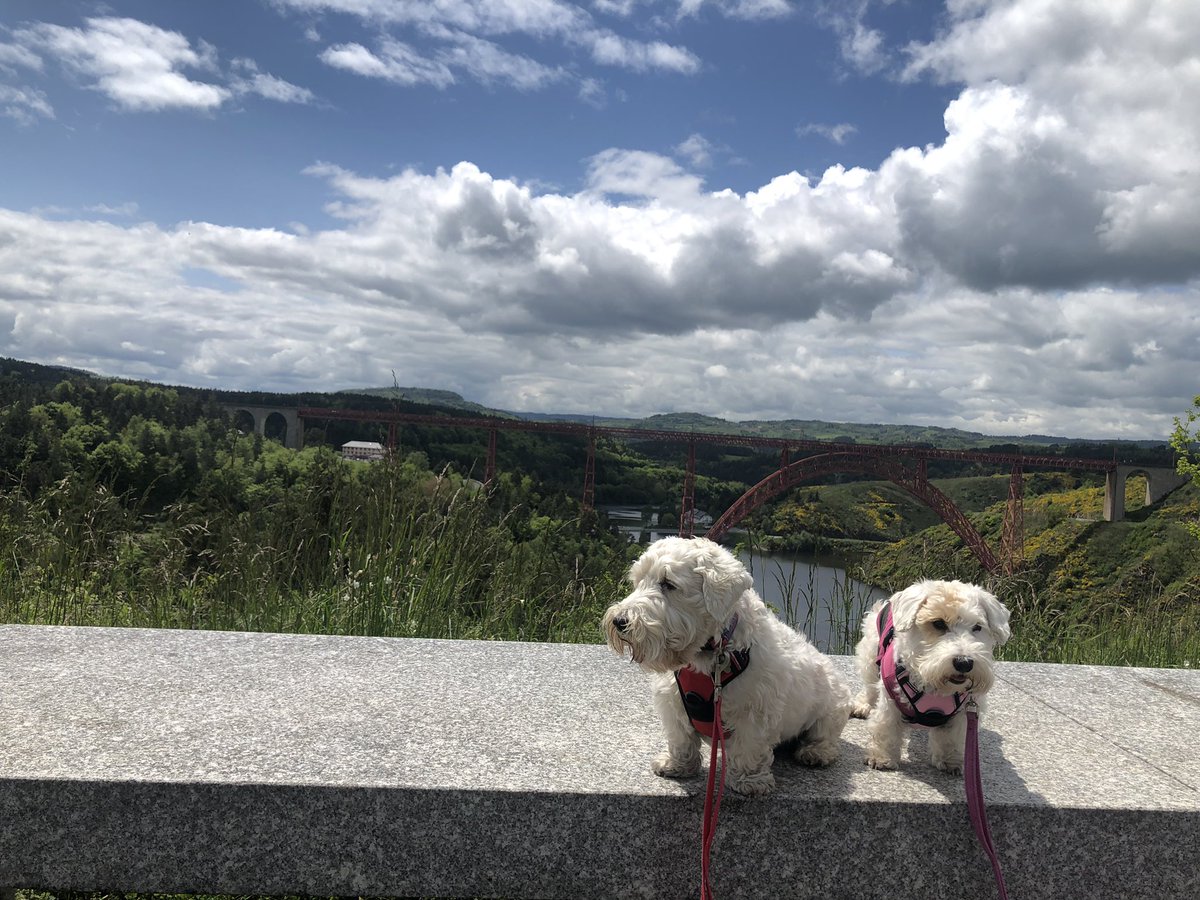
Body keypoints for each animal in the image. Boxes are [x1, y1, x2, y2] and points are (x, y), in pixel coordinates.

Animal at [600, 535, 854, 796]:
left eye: (668, 584)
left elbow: (749, 747)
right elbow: (681, 737)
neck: (710, 653)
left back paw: (816, 752)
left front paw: (749, 780)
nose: (619, 621)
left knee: (825, 736)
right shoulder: (672, 700)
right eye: (637, 581)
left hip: (831, 708)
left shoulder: (754, 709)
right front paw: (678, 764)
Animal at [854, 585, 1012, 777]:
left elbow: (952, 738)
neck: (935, 686)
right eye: (938, 623)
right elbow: (886, 727)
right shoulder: (891, 699)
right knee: (869, 687)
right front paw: (882, 758)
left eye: (977, 627)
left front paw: (950, 762)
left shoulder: (962, 714)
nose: (964, 662)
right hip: (870, 656)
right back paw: (862, 706)